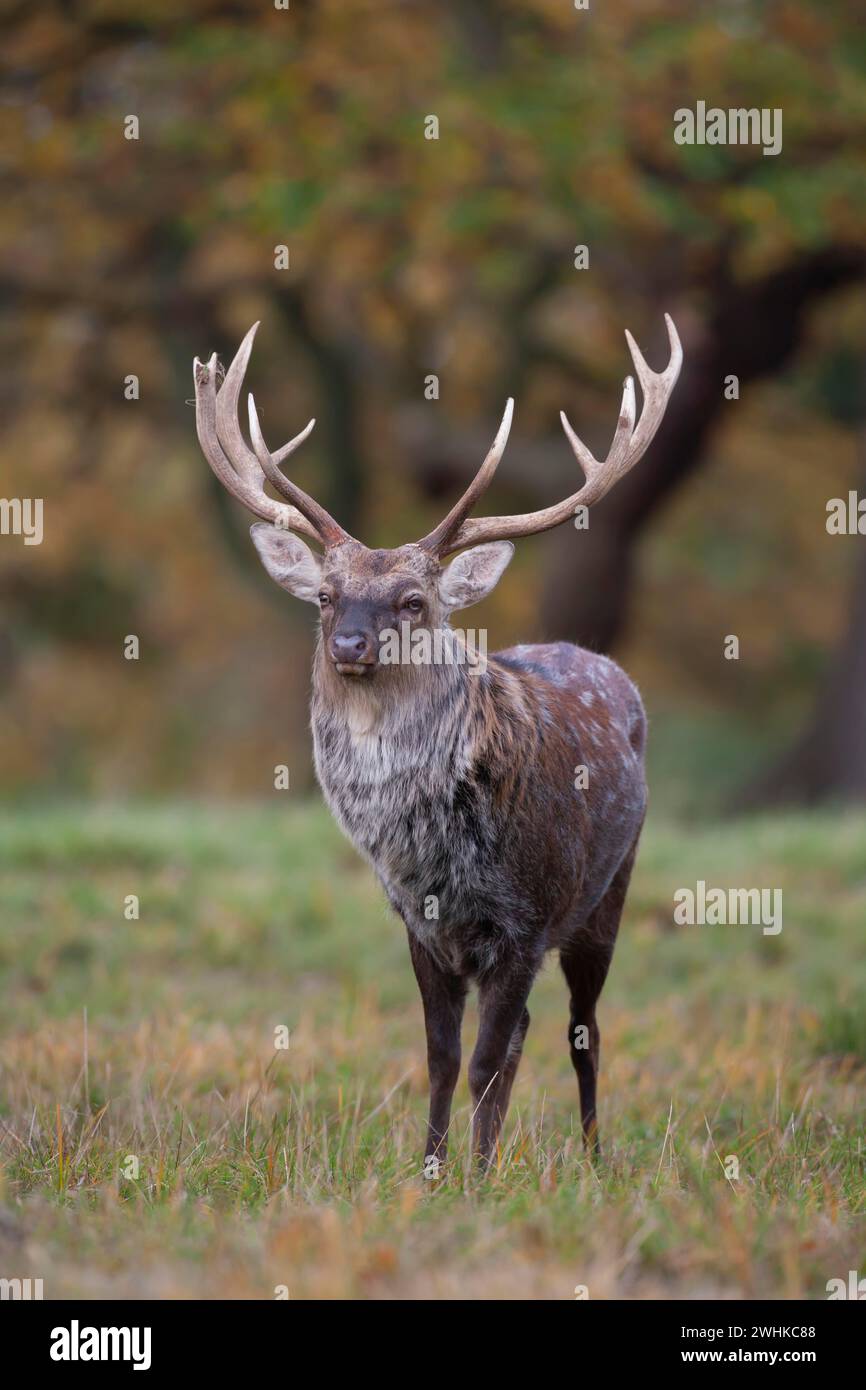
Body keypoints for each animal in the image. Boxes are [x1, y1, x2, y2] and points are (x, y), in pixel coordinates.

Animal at [192, 314, 682, 1168]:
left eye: (413, 600)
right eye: (325, 595)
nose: (349, 644)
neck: (437, 856)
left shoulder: (524, 920)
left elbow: (486, 1058)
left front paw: (477, 1182)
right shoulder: (422, 926)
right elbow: (445, 1056)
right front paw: (431, 1171)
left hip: (607, 893)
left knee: (581, 1030)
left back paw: (594, 1159)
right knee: (527, 1033)